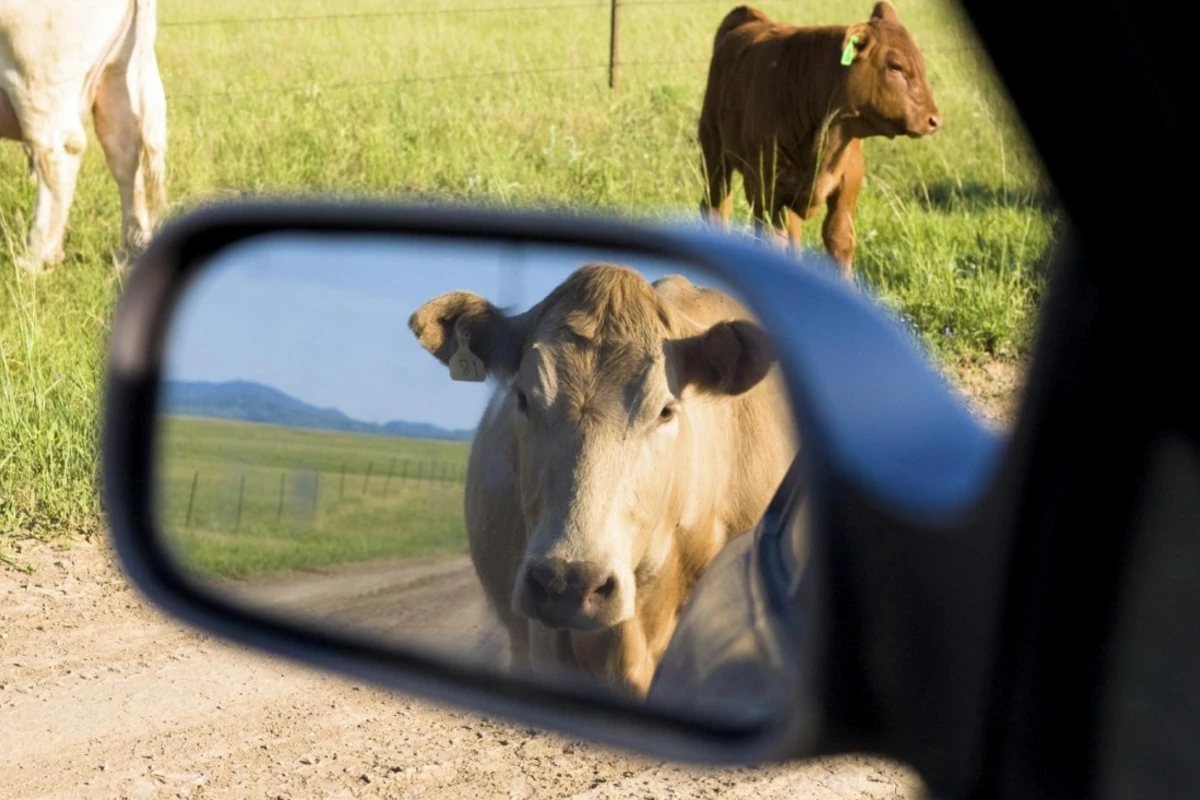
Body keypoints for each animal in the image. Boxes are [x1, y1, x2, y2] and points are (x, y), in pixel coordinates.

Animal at [1, 0, 167, 274]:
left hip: (35, 77)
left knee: (58, 154)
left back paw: (33, 260)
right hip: (117, 73)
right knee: (125, 154)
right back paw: (129, 250)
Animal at [697, 2, 941, 282]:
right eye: (895, 66)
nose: (933, 119)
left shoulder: (849, 178)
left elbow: (839, 237)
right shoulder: (763, 185)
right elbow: (771, 241)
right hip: (714, 154)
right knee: (716, 208)